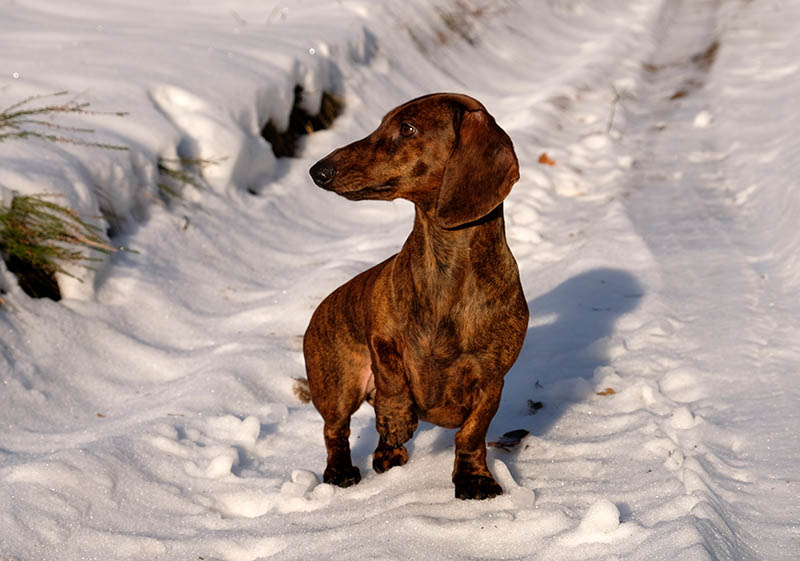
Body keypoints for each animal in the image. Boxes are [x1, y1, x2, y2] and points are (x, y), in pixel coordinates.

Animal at [304, 93, 528, 498]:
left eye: (407, 128)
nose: (318, 170)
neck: (446, 273)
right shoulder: (381, 338)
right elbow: (392, 380)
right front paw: (396, 418)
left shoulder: (492, 379)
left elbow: (472, 433)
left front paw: (475, 479)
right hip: (338, 387)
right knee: (335, 430)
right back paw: (342, 471)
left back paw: (387, 454)